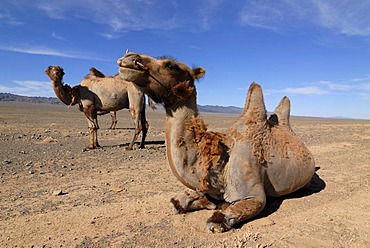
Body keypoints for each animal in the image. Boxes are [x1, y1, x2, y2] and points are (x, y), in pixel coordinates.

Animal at [118, 51, 316, 232]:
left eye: (171, 65)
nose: (130, 58)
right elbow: (177, 202)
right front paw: (200, 202)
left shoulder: (252, 193)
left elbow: (223, 217)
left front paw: (217, 213)